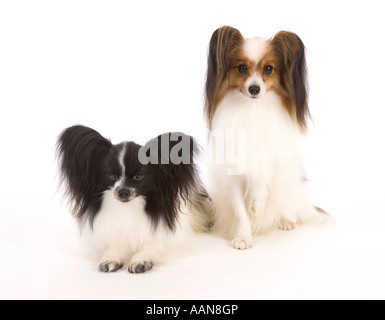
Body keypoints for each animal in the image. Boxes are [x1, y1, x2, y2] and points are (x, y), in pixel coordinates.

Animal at [57, 125, 210, 272]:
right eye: (112, 175)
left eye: (139, 175)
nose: (123, 192)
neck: (128, 208)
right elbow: (111, 246)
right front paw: (110, 257)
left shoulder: (171, 242)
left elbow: (152, 246)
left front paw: (141, 259)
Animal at [204, 26, 324, 250]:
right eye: (242, 68)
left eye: (268, 69)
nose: (254, 89)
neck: (253, 108)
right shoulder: (232, 172)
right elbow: (240, 211)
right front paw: (243, 236)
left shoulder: (271, 155)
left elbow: (261, 177)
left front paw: (256, 204)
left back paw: (287, 220)